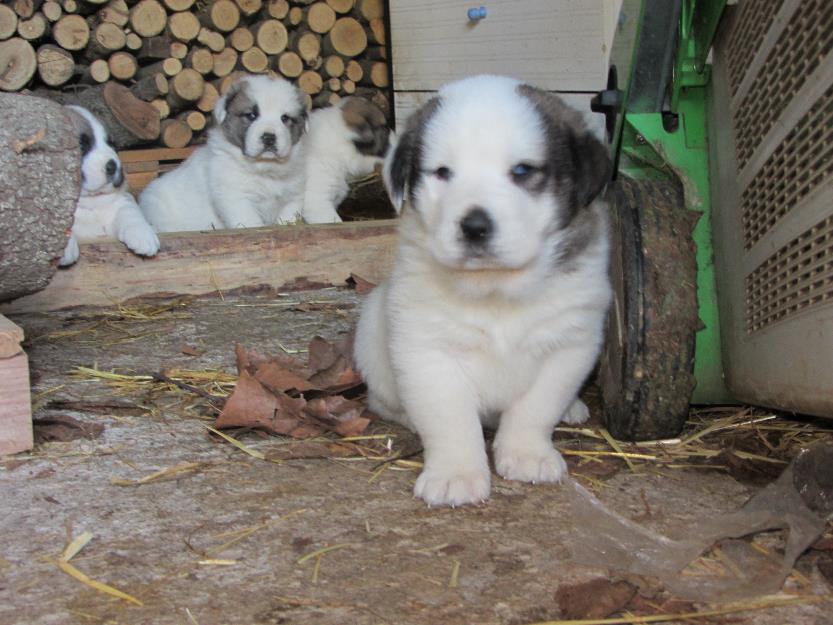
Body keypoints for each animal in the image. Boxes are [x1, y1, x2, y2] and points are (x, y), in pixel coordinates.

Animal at [58, 105, 159, 266]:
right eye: (80, 145)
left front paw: (143, 234)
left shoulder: (123, 200)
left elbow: (129, 212)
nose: (113, 165)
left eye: (112, 145)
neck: (90, 202)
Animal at [140, 75, 308, 232]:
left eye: (285, 118)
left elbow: (287, 217)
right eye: (251, 115)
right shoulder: (236, 198)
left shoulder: (293, 197)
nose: (269, 137)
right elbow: (250, 222)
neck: (265, 168)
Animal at [352, 74, 612, 508]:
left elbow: (535, 408)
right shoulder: (427, 352)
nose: (474, 227)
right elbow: (450, 419)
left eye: (522, 170)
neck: (496, 290)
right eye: (442, 172)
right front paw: (455, 474)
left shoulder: (569, 345)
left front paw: (526, 453)